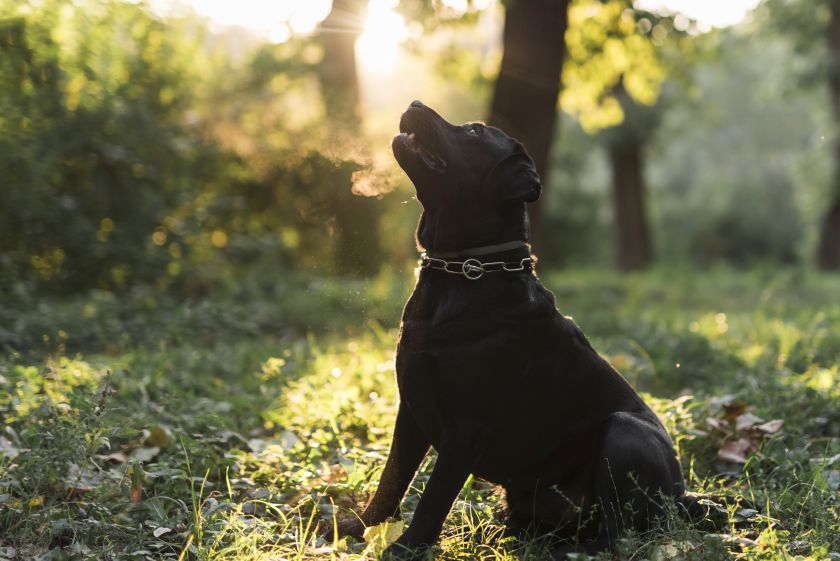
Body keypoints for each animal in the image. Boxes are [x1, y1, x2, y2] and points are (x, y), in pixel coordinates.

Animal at [328, 101, 696, 560]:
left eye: (472, 132)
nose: (414, 104)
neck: (466, 271)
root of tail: (683, 500)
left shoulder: (466, 428)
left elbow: (433, 496)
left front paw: (407, 547)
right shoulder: (410, 409)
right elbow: (392, 479)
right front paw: (358, 527)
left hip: (625, 433)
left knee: (614, 535)